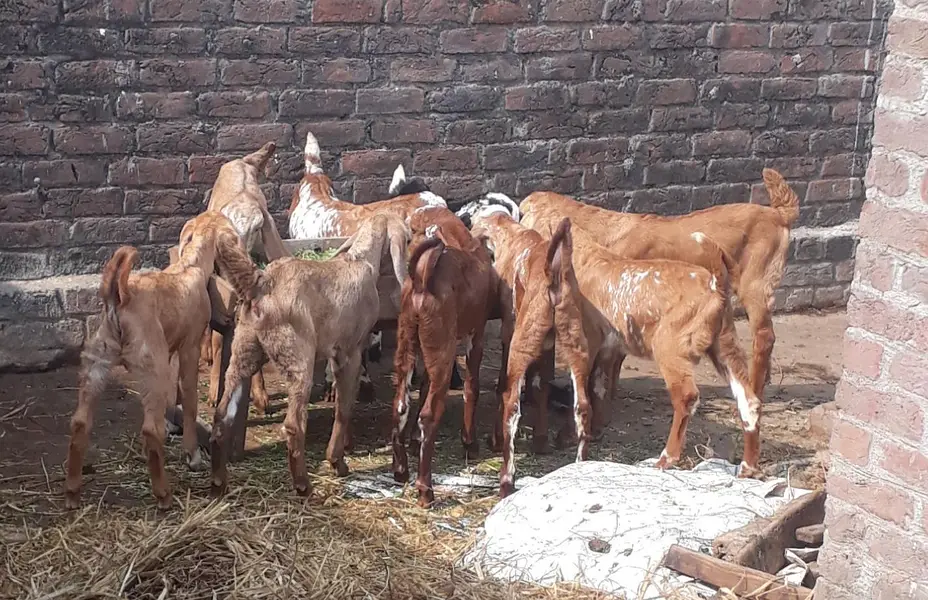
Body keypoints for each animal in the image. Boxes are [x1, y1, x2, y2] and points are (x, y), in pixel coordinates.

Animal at [64, 212, 242, 509]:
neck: (190, 265)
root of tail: (120, 297)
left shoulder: (170, 351)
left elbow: (174, 398)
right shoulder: (189, 348)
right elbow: (190, 400)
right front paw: (192, 455)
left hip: (96, 365)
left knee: (79, 423)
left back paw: (73, 493)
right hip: (151, 369)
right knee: (149, 430)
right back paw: (164, 495)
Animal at [209, 213, 409, 497]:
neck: (360, 260)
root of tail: (262, 283)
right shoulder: (349, 352)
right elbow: (344, 408)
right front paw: (337, 461)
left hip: (243, 353)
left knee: (222, 416)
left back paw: (218, 481)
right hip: (298, 358)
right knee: (293, 426)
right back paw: (303, 484)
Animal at [391, 214, 495, 508]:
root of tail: (422, 279)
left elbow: (424, 384)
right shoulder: (476, 335)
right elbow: (472, 387)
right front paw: (470, 442)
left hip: (408, 344)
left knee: (400, 405)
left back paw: (400, 470)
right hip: (444, 351)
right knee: (429, 415)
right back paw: (425, 490)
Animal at [470, 212, 593, 497]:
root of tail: (553, 274)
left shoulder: (508, 330)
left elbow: (503, 384)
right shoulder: (548, 347)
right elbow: (541, 386)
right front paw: (541, 441)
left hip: (520, 345)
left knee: (512, 405)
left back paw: (506, 479)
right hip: (576, 348)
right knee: (582, 407)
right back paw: (579, 468)